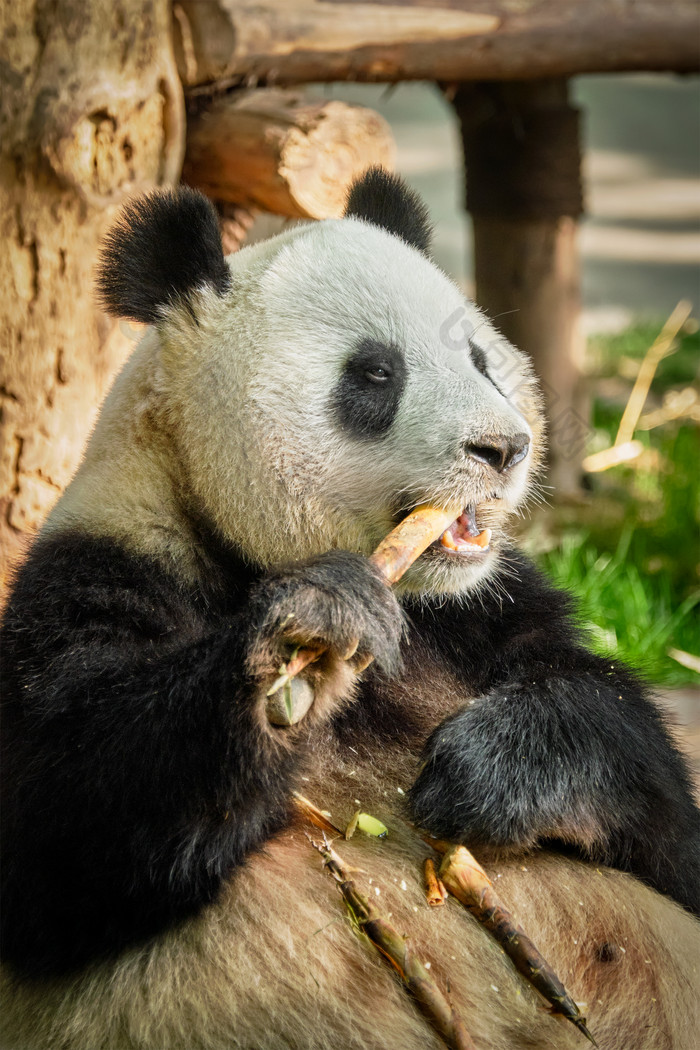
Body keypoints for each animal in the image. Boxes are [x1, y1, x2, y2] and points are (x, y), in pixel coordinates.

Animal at [1, 172, 700, 1050]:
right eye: (374, 374)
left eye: (480, 359)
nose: (505, 449)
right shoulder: (97, 569)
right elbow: (56, 827)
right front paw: (311, 634)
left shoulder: (486, 613)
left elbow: (657, 799)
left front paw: (490, 767)